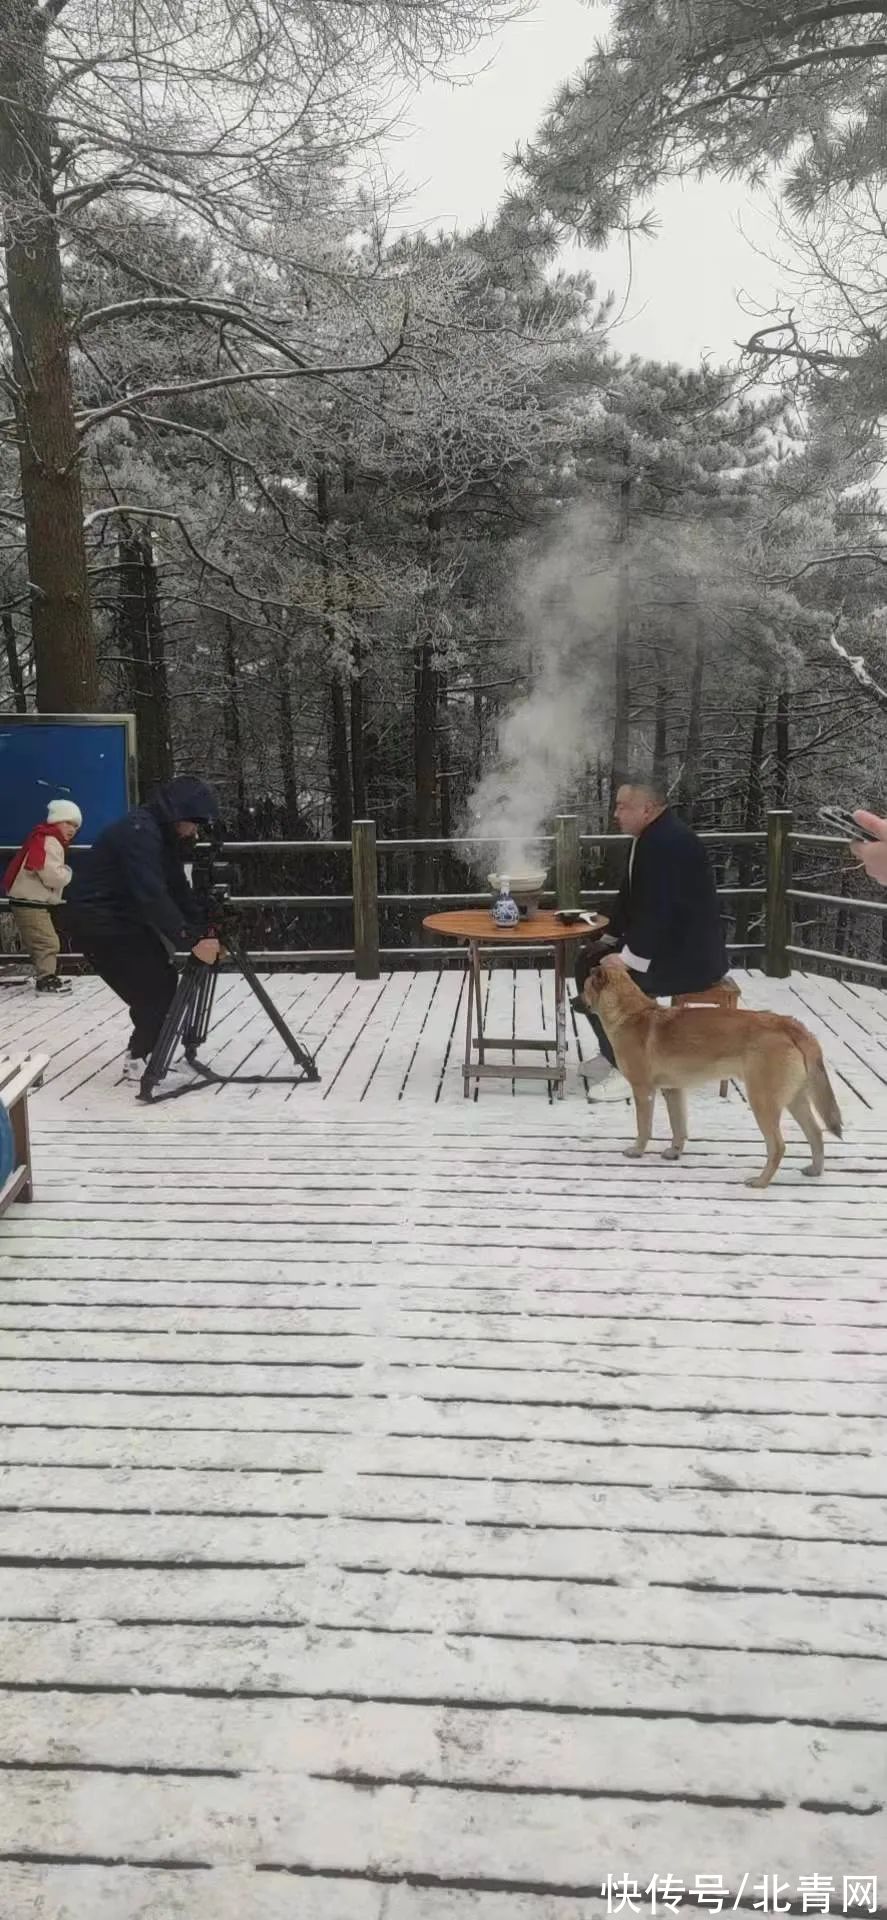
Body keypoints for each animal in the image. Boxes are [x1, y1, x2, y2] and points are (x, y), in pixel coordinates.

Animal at [583, 967, 840, 1190]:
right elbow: (679, 1127)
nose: (576, 1001)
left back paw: (761, 1182)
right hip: (795, 1100)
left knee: (778, 1147)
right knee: (816, 1134)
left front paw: (637, 1150)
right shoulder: (674, 1090)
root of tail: (790, 1024)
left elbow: (643, 1127)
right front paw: (674, 1152)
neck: (630, 1014)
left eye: (584, 989)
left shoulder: (643, 1090)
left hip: (763, 1102)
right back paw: (815, 1171)